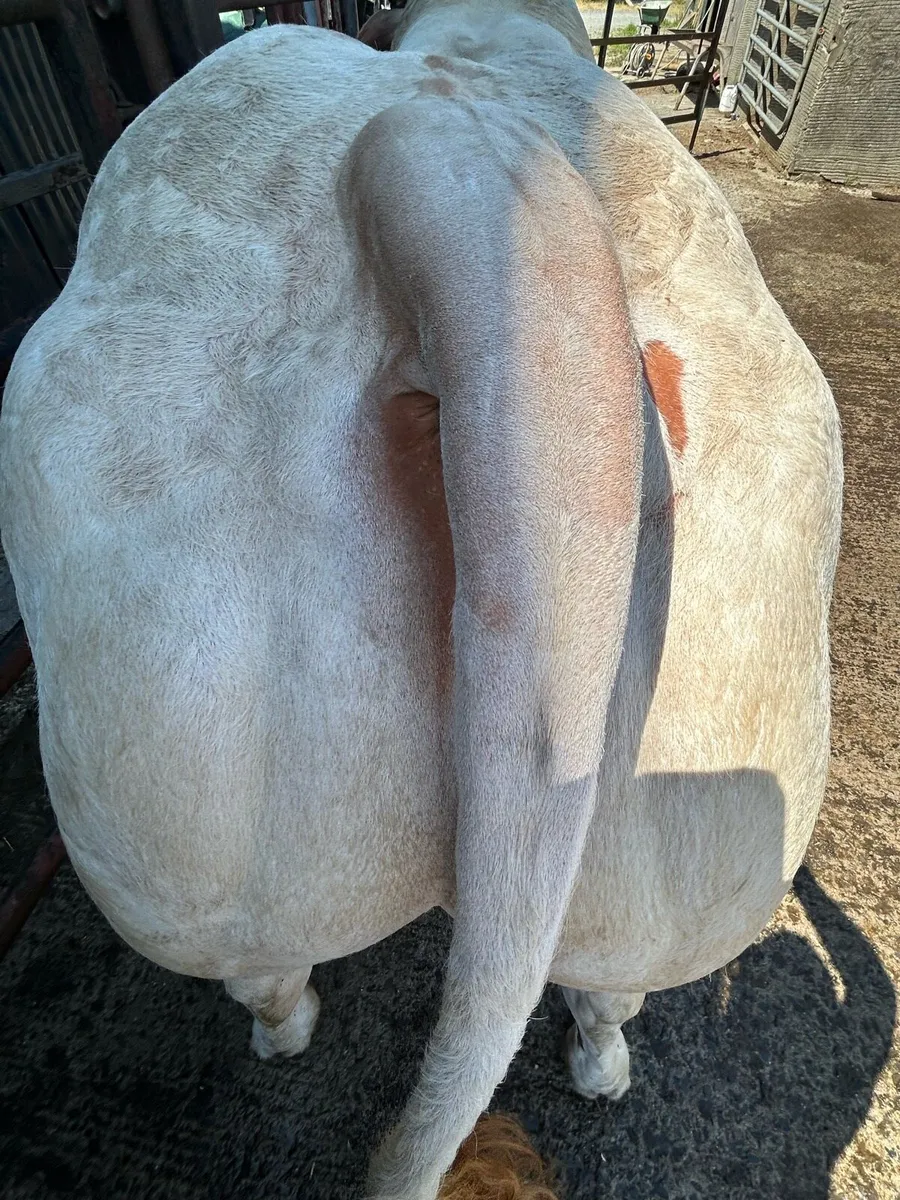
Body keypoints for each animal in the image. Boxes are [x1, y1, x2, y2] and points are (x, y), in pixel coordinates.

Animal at [0, 1, 842, 1196]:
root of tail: (453, 156)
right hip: (693, 840)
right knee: (611, 984)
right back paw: (600, 1070)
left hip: (175, 829)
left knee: (256, 964)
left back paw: (283, 1032)